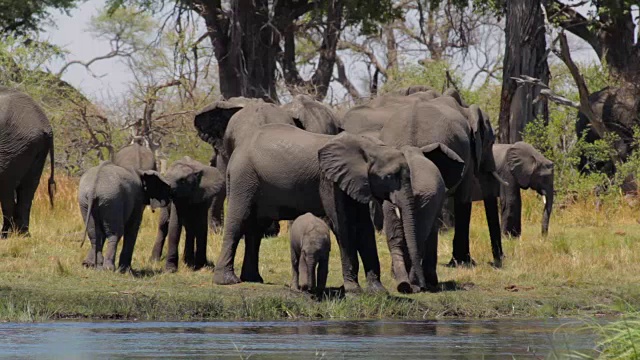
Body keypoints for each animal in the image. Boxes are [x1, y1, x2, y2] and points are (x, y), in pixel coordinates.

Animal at [0, 87, 55, 238]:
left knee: (6, 186)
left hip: (14, 146)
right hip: (35, 148)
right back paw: (23, 235)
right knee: (28, 189)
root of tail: (45, 125)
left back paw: (5, 235)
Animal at [214, 124, 450, 292]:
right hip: (244, 178)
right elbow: (343, 225)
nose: (415, 287)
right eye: (390, 177)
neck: (368, 149)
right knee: (238, 221)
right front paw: (354, 290)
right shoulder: (329, 180)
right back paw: (228, 281)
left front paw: (378, 290)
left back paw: (253, 279)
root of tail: (235, 153)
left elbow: (364, 228)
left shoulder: (356, 181)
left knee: (255, 229)